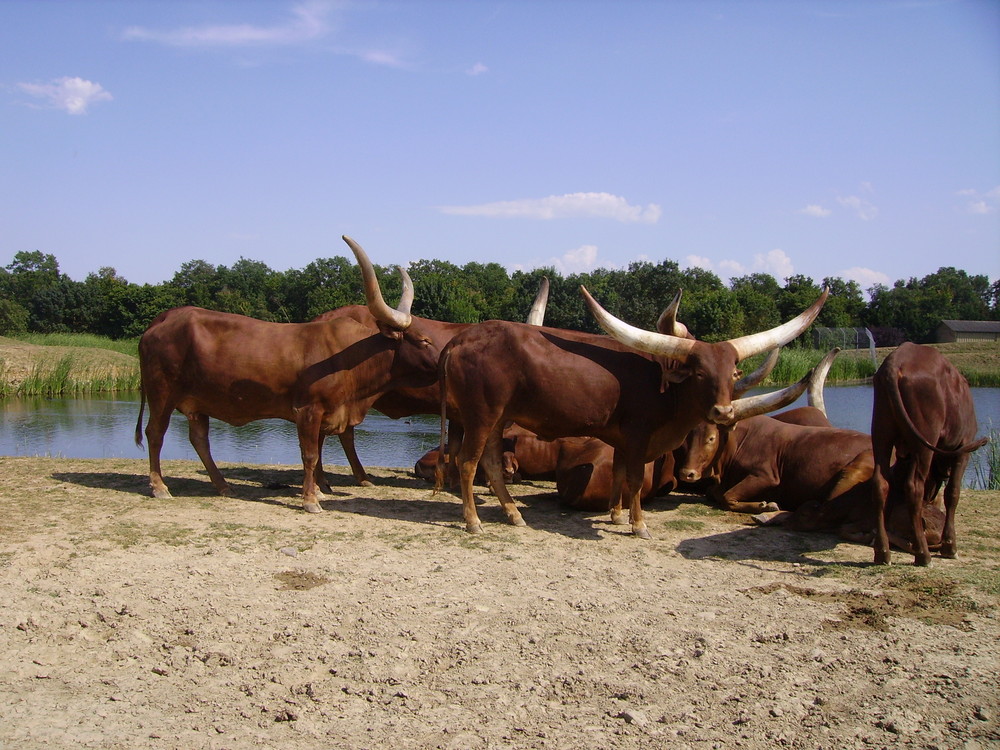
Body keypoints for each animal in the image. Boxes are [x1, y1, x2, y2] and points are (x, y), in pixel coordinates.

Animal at [135, 238, 440, 516]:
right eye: (424, 341)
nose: (445, 361)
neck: (348, 358)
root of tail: (165, 318)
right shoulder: (308, 410)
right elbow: (310, 455)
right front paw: (310, 500)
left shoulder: (326, 414)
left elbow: (316, 453)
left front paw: (317, 490)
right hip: (162, 393)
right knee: (155, 433)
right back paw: (160, 487)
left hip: (198, 403)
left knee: (199, 440)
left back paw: (223, 485)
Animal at [434, 284, 824, 536]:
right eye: (699, 372)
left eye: (733, 373)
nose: (723, 412)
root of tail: (461, 339)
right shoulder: (639, 435)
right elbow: (634, 479)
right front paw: (638, 524)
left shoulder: (622, 437)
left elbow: (620, 473)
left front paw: (617, 516)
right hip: (481, 415)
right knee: (467, 463)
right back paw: (473, 522)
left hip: (499, 418)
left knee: (490, 463)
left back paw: (514, 514)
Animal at [872, 344, 988, 568]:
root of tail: (896, 361)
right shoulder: (964, 450)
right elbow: (953, 493)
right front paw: (950, 546)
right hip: (925, 439)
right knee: (914, 487)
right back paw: (923, 554)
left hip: (881, 432)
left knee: (880, 483)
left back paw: (882, 551)